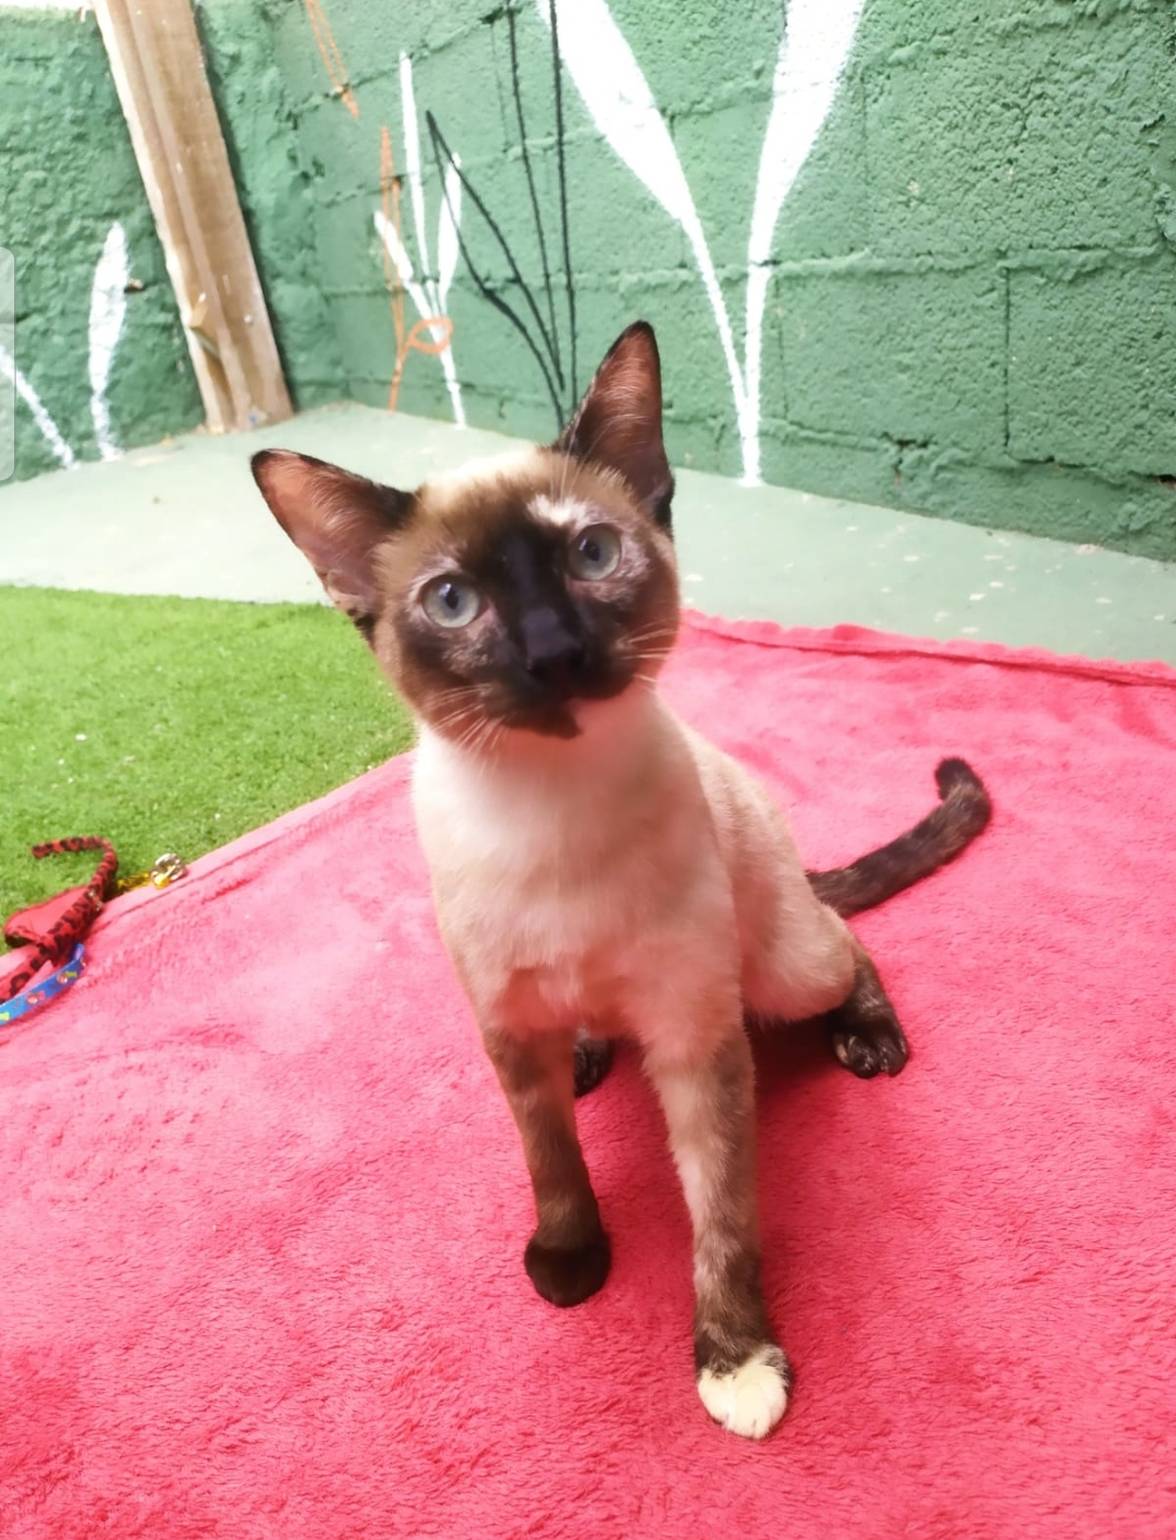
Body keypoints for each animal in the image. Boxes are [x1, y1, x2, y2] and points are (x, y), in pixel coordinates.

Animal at [251, 321, 990, 1439]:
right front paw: (569, 1264)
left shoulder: (696, 1039)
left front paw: (737, 1364)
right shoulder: (507, 1027)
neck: (548, 812)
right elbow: (552, 1164)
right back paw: (592, 1050)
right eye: (453, 602)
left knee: (846, 942)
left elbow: (722, 1220)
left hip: (780, 969)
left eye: (590, 555)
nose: (553, 652)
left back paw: (867, 1034)